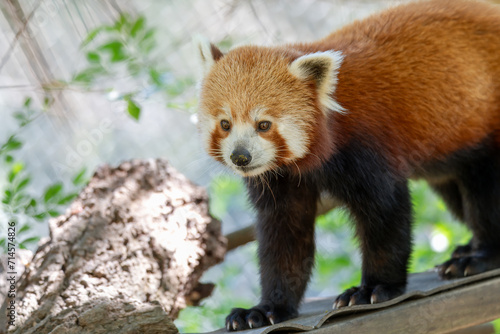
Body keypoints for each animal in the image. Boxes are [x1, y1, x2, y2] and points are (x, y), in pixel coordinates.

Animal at [194, 0, 500, 328]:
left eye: (263, 125)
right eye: (225, 124)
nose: (240, 157)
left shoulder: (366, 147)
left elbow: (386, 214)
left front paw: (373, 288)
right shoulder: (281, 178)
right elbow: (284, 236)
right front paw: (267, 308)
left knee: (486, 193)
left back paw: (480, 256)